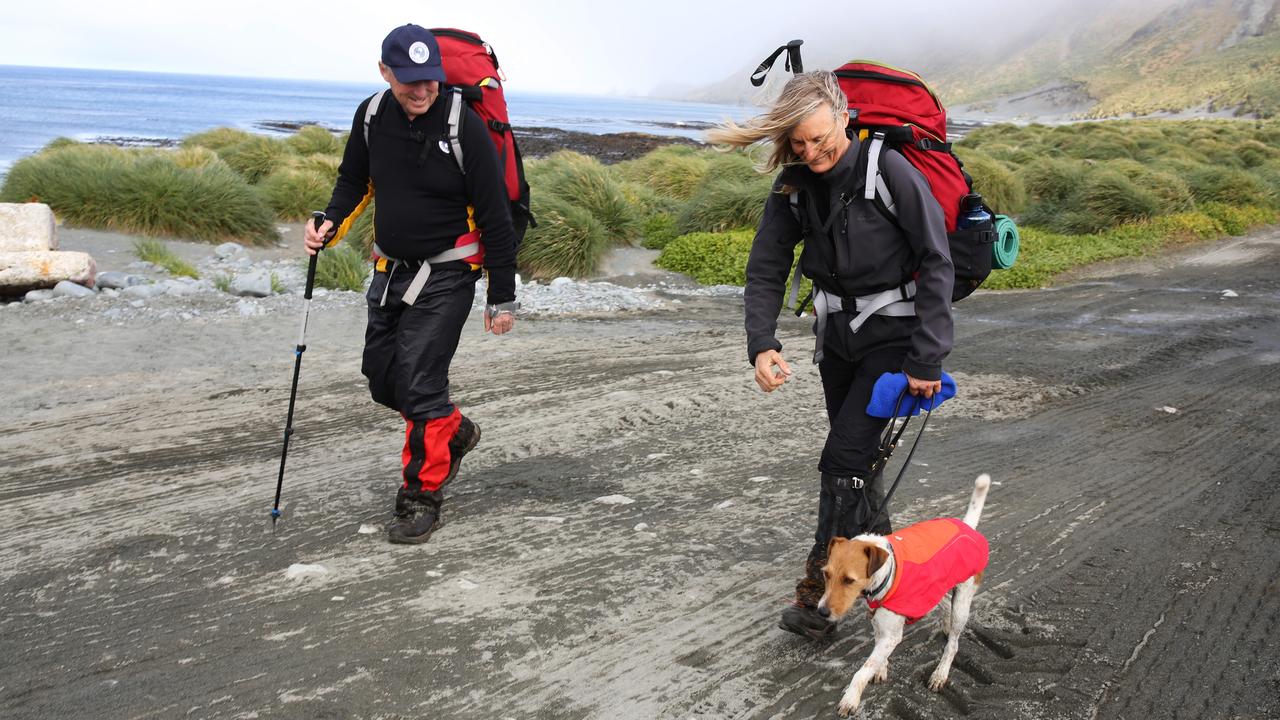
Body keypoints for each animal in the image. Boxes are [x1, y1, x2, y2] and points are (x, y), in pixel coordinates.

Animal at [819, 471, 988, 712]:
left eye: (849, 580)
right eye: (826, 574)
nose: (822, 612)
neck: (885, 572)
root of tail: (967, 527)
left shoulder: (891, 633)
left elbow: (863, 669)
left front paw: (851, 698)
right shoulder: (880, 624)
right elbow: (877, 655)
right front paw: (881, 669)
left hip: (963, 603)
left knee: (954, 644)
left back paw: (940, 673)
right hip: (934, 589)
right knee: (946, 603)